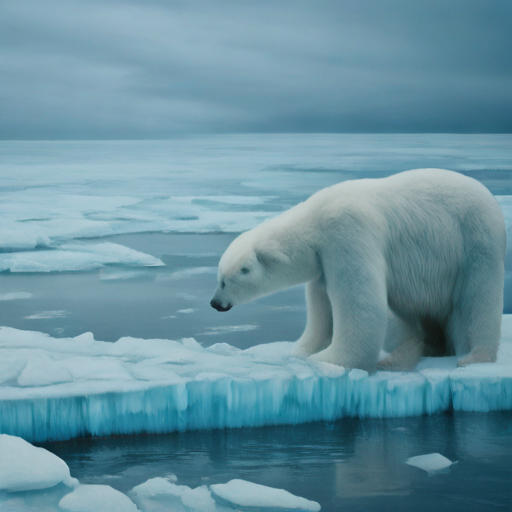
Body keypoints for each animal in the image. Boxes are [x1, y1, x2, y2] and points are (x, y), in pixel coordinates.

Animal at [210, 169, 506, 372]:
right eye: (219, 276)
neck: (315, 221)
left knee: (477, 301)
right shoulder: (322, 265)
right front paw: (302, 351)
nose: (215, 303)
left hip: (475, 242)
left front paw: (329, 360)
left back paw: (472, 356)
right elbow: (321, 310)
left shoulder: (347, 232)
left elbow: (361, 304)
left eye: (227, 280)